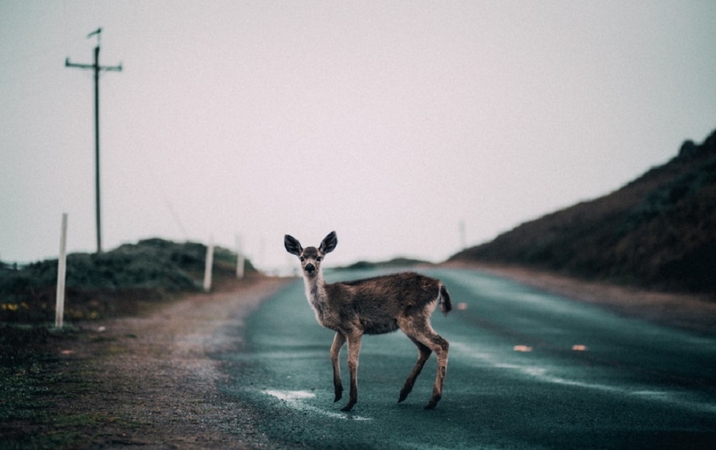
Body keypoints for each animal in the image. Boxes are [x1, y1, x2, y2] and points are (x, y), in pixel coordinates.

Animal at [282, 232, 450, 412]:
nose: (309, 267)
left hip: (414, 317)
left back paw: (432, 400)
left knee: (441, 344)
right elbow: (333, 352)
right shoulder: (341, 330)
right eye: (301, 257)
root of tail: (439, 285)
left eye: (319, 257)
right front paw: (337, 393)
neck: (327, 300)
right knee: (425, 349)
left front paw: (350, 402)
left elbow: (352, 361)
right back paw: (404, 393)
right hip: (409, 322)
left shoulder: (354, 326)